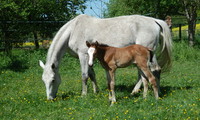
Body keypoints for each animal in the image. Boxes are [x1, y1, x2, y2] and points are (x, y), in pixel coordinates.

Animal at [39, 14, 172, 100]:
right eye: (43, 81)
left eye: (53, 80)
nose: (50, 98)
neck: (73, 30)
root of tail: (155, 21)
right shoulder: (89, 58)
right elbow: (92, 74)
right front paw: (96, 91)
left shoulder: (83, 56)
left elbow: (84, 76)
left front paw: (84, 95)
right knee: (143, 74)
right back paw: (135, 92)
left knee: (155, 70)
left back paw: (157, 92)